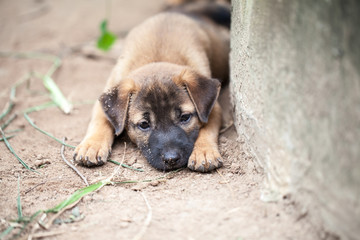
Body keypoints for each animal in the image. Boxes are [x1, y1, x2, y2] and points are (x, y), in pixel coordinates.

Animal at [74, 3, 229, 172]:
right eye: (144, 124)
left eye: (185, 117)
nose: (171, 159)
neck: (156, 58)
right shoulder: (104, 101)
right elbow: (100, 121)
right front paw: (91, 145)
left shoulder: (213, 109)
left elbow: (207, 128)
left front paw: (204, 152)